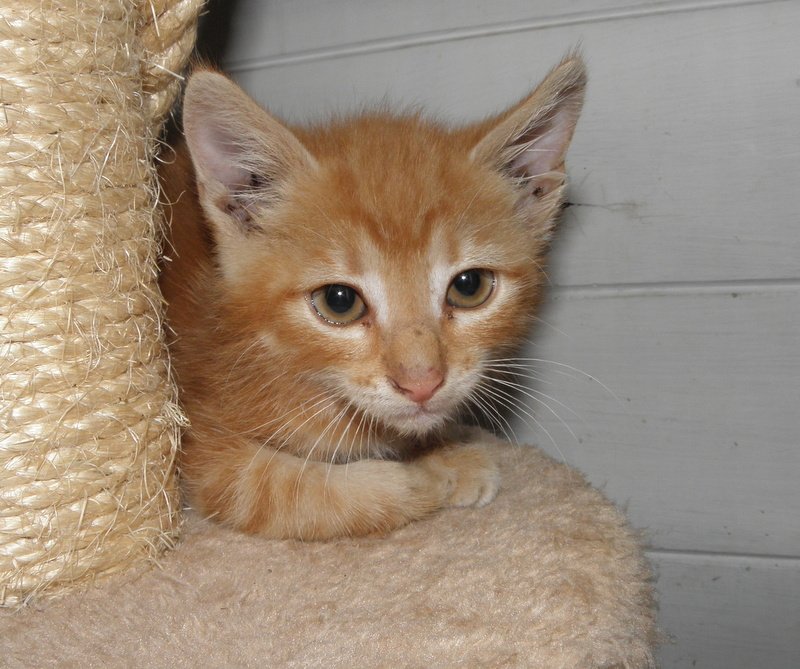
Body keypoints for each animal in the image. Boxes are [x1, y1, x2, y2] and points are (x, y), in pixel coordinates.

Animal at [159, 55, 586, 540]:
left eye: (469, 286)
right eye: (339, 301)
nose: (422, 383)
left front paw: (442, 449)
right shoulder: (205, 448)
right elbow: (305, 495)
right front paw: (427, 475)